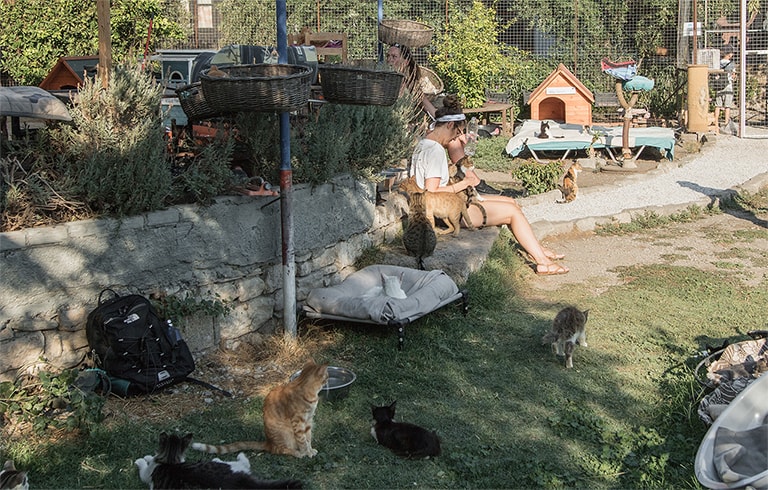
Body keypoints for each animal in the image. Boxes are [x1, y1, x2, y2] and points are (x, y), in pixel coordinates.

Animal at [134, 432, 302, 490]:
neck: (169, 460)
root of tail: (238, 481)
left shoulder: (146, 475)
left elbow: (143, 468)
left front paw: (142, 459)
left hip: (227, 465)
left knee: (243, 461)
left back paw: (233, 455)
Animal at [192, 360, 328, 460]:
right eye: (327, 376)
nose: (328, 378)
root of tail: (268, 442)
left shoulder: (308, 421)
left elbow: (308, 438)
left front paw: (310, 450)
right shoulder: (298, 423)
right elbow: (302, 440)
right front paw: (306, 452)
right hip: (285, 435)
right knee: (280, 450)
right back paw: (297, 453)